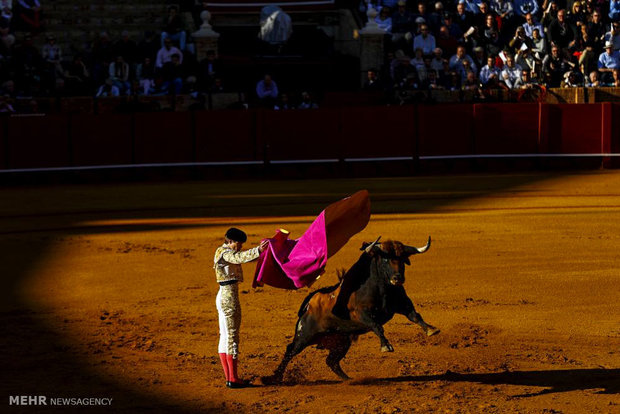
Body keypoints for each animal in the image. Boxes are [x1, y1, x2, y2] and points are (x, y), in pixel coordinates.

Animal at [264, 234, 438, 384]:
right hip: (304, 335)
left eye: (402, 259)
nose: (398, 278)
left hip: (341, 340)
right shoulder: (361, 314)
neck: (382, 289)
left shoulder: (403, 304)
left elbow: (415, 316)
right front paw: (386, 346)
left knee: (331, 361)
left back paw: (348, 379)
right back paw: (273, 378)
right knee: (290, 351)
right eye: (385, 259)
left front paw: (431, 330)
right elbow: (377, 326)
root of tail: (308, 306)